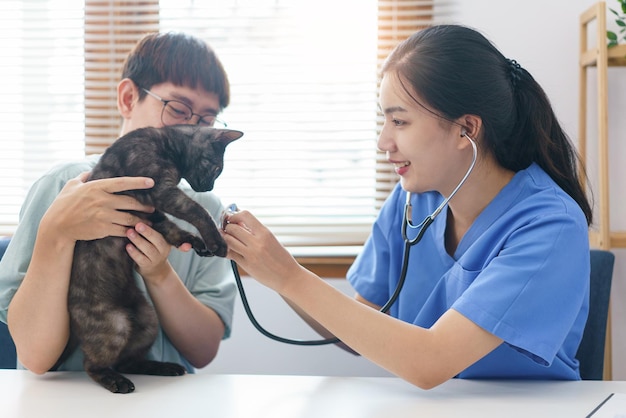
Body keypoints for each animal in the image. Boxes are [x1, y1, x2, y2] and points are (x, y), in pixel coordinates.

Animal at [54, 124, 243, 392]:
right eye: (216, 169)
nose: (209, 188)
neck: (167, 142)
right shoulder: (159, 191)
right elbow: (198, 210)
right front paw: (216, 241)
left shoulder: (152, 211)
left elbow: (172, 228)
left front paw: (197, 243)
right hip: (114, 325)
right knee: (93, 365)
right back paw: (117, 381)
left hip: (148, 320)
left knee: (128, 361)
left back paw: (164, 368)